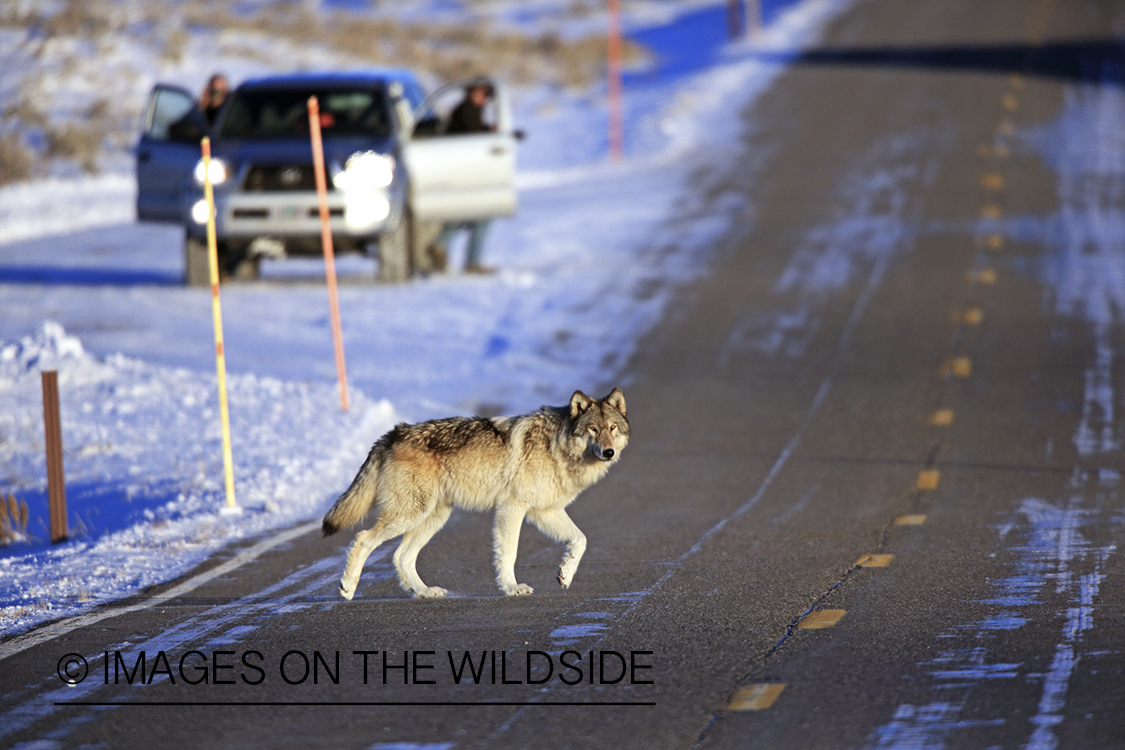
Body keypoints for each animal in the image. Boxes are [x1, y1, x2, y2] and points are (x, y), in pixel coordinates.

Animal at [322, 388, 629, 599]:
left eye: (613, 428)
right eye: (593, 429)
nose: (608, 452)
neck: (557, 446)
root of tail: (392, 434)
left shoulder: (545, 511)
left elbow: (580, 540)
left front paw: (565, 574)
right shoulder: (512, 508)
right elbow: (509, 553)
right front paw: (512, 587)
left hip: (434, 518)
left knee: (401, 557)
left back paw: (424, 591)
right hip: (409, 514)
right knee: (363, 539)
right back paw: (348, 588)